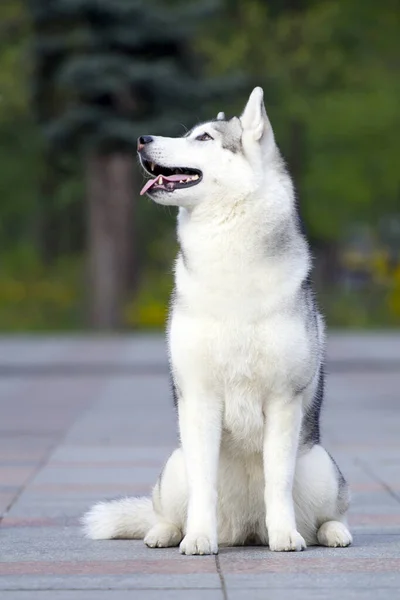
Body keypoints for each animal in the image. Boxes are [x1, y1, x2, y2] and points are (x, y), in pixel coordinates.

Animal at [83, 88, 352, 552]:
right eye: (188, 133)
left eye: (205, 138)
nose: (141, 139)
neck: (230, 263)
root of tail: (246, 530)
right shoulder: (200, 400)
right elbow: (203, 484)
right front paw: (198, 539)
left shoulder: (282, 402)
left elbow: (277, 481)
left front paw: (285, 536)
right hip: (174, 465)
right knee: (165, 509)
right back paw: (165, 532)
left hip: (320, 467)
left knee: (325, 516)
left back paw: (329, 532)